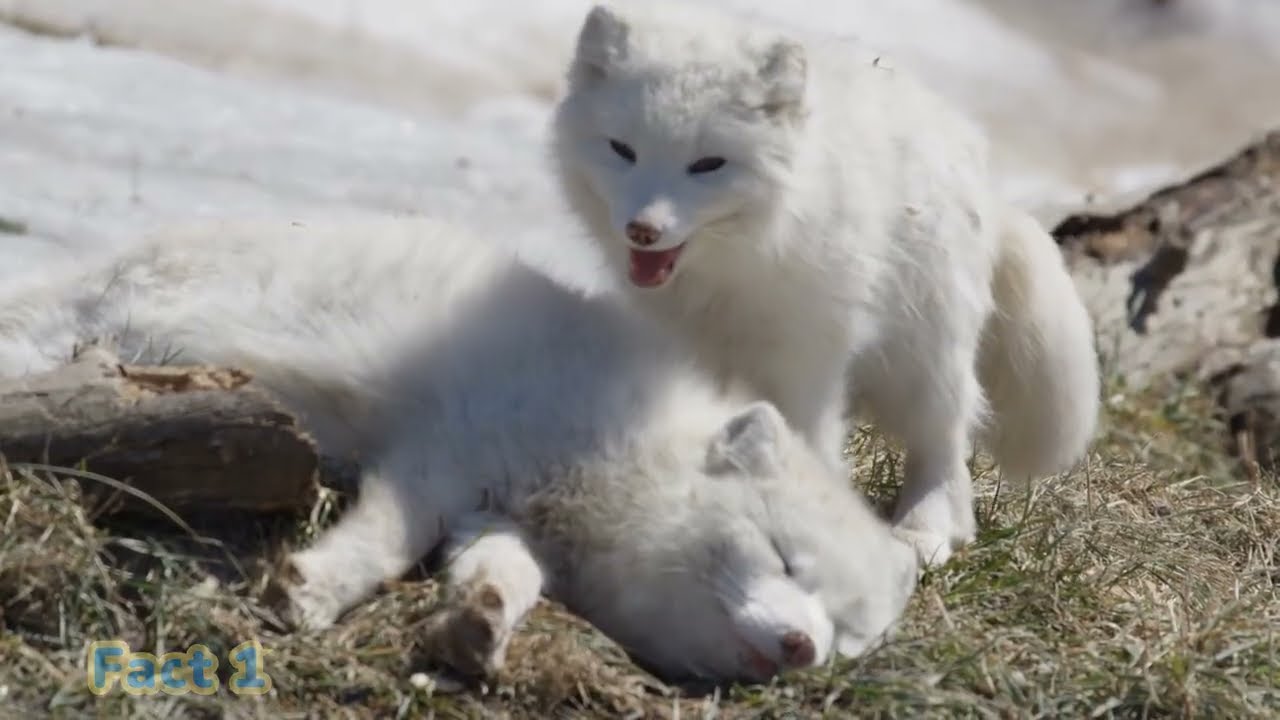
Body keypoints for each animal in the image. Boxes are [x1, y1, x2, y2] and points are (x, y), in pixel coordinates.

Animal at [0, 217, 919, 683]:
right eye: (784, 559)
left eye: (846, 632)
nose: (802, 649)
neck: (622, 448)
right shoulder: (445, 453)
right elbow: (386, 542)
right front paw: (311, 593)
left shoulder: (500, 515)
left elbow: (508, 576)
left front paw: (480, 629)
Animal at [550, 2, 1102, 567]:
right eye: (622, 150)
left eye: (707, 164)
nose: (643, 229)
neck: (730, 272)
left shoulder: (808, 354)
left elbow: (808, 436)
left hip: (923, 353)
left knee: (945, 441)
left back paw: (926, 531)